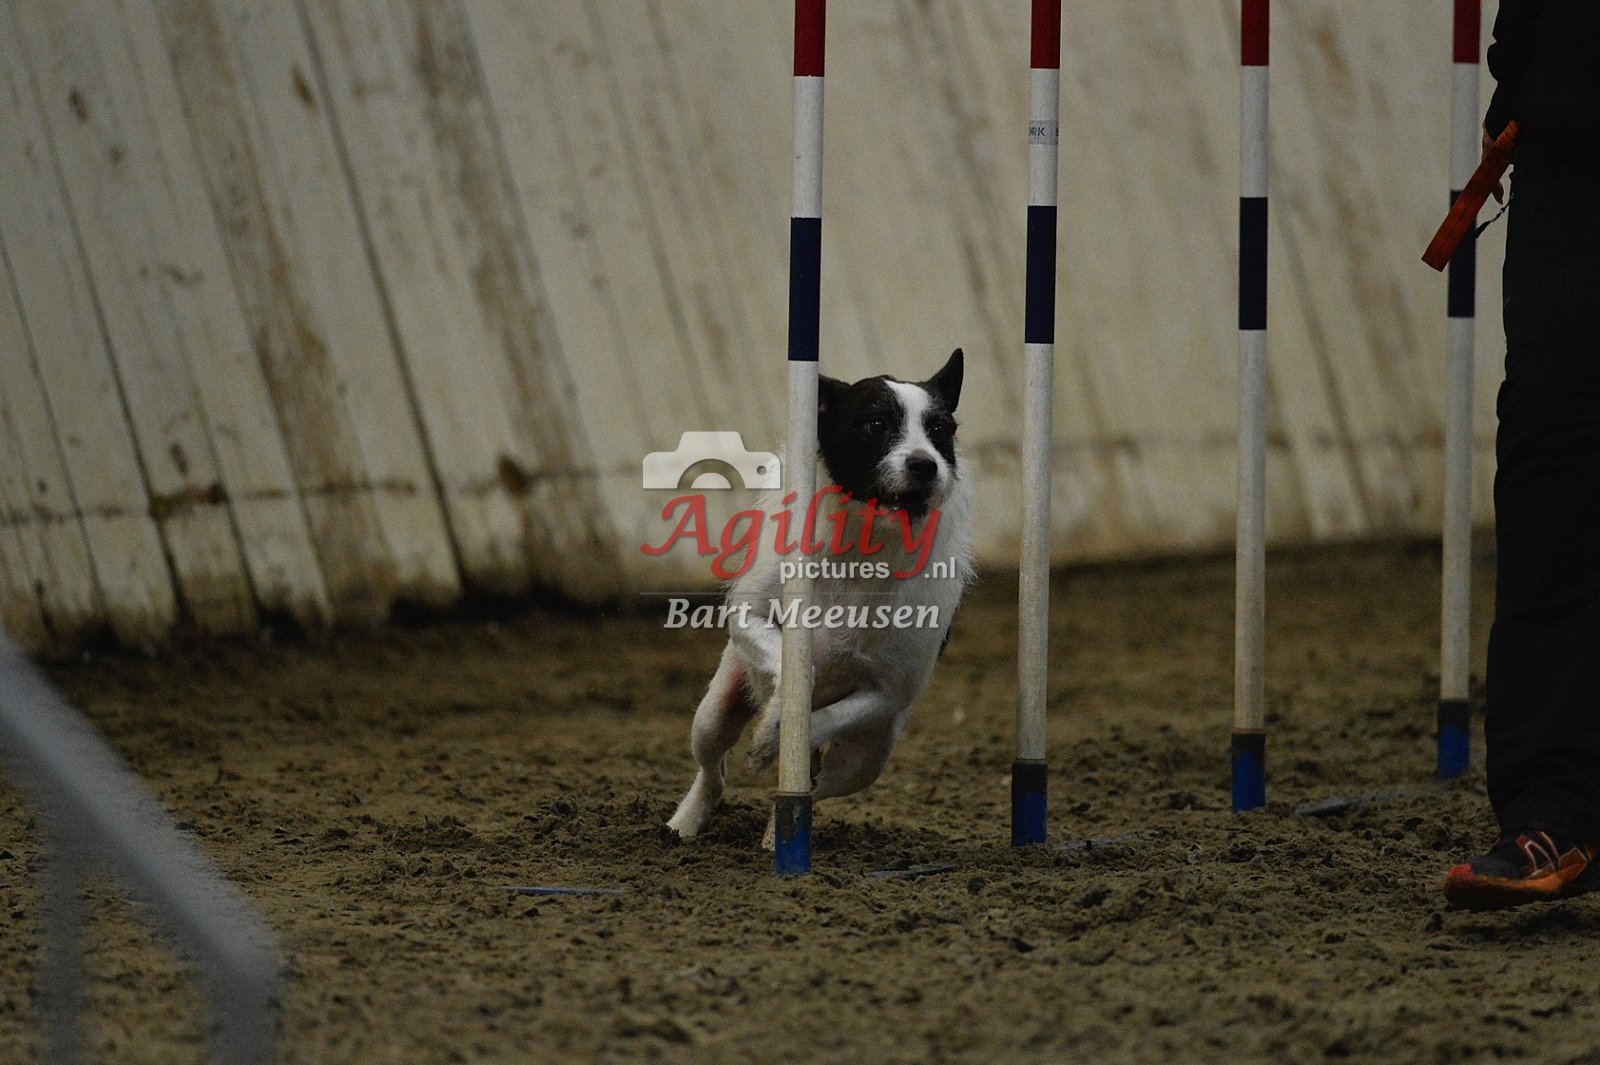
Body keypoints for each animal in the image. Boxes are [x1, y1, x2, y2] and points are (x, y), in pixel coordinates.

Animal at [667, 349, 974, 841]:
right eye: (875, 424)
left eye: (941, 429)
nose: (925, 464)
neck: (861, 544)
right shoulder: (750, 618)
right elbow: (801, 668)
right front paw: (775, 718)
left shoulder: (887, 694)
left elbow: (819, 720)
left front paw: (772, 736)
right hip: (714, 711)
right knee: (713, 769)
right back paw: (687, 823)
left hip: (866, 759)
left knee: (817, 786)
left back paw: (777, 834)